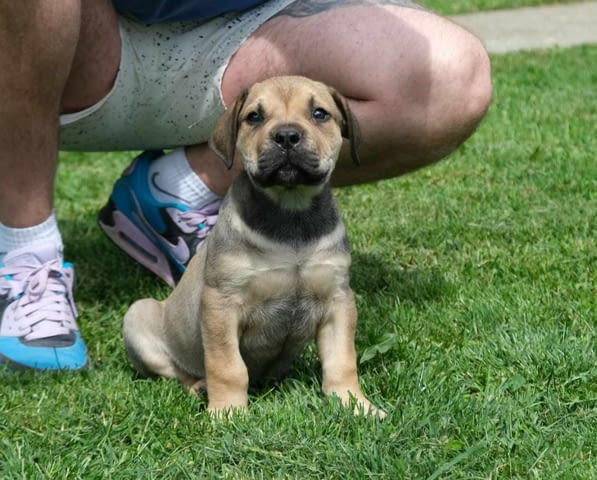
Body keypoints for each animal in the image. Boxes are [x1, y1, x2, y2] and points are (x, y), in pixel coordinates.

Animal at [123, 76, 384, 416]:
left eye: (319, 114)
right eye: (254, 117)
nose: (286, 136)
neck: (290, 211)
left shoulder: (337, 300)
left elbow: (342, 361)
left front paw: (356, 405)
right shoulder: (221, 303)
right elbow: (228, 366)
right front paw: (228, 413)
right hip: (138, 316)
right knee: (176, 371)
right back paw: (199, 386)